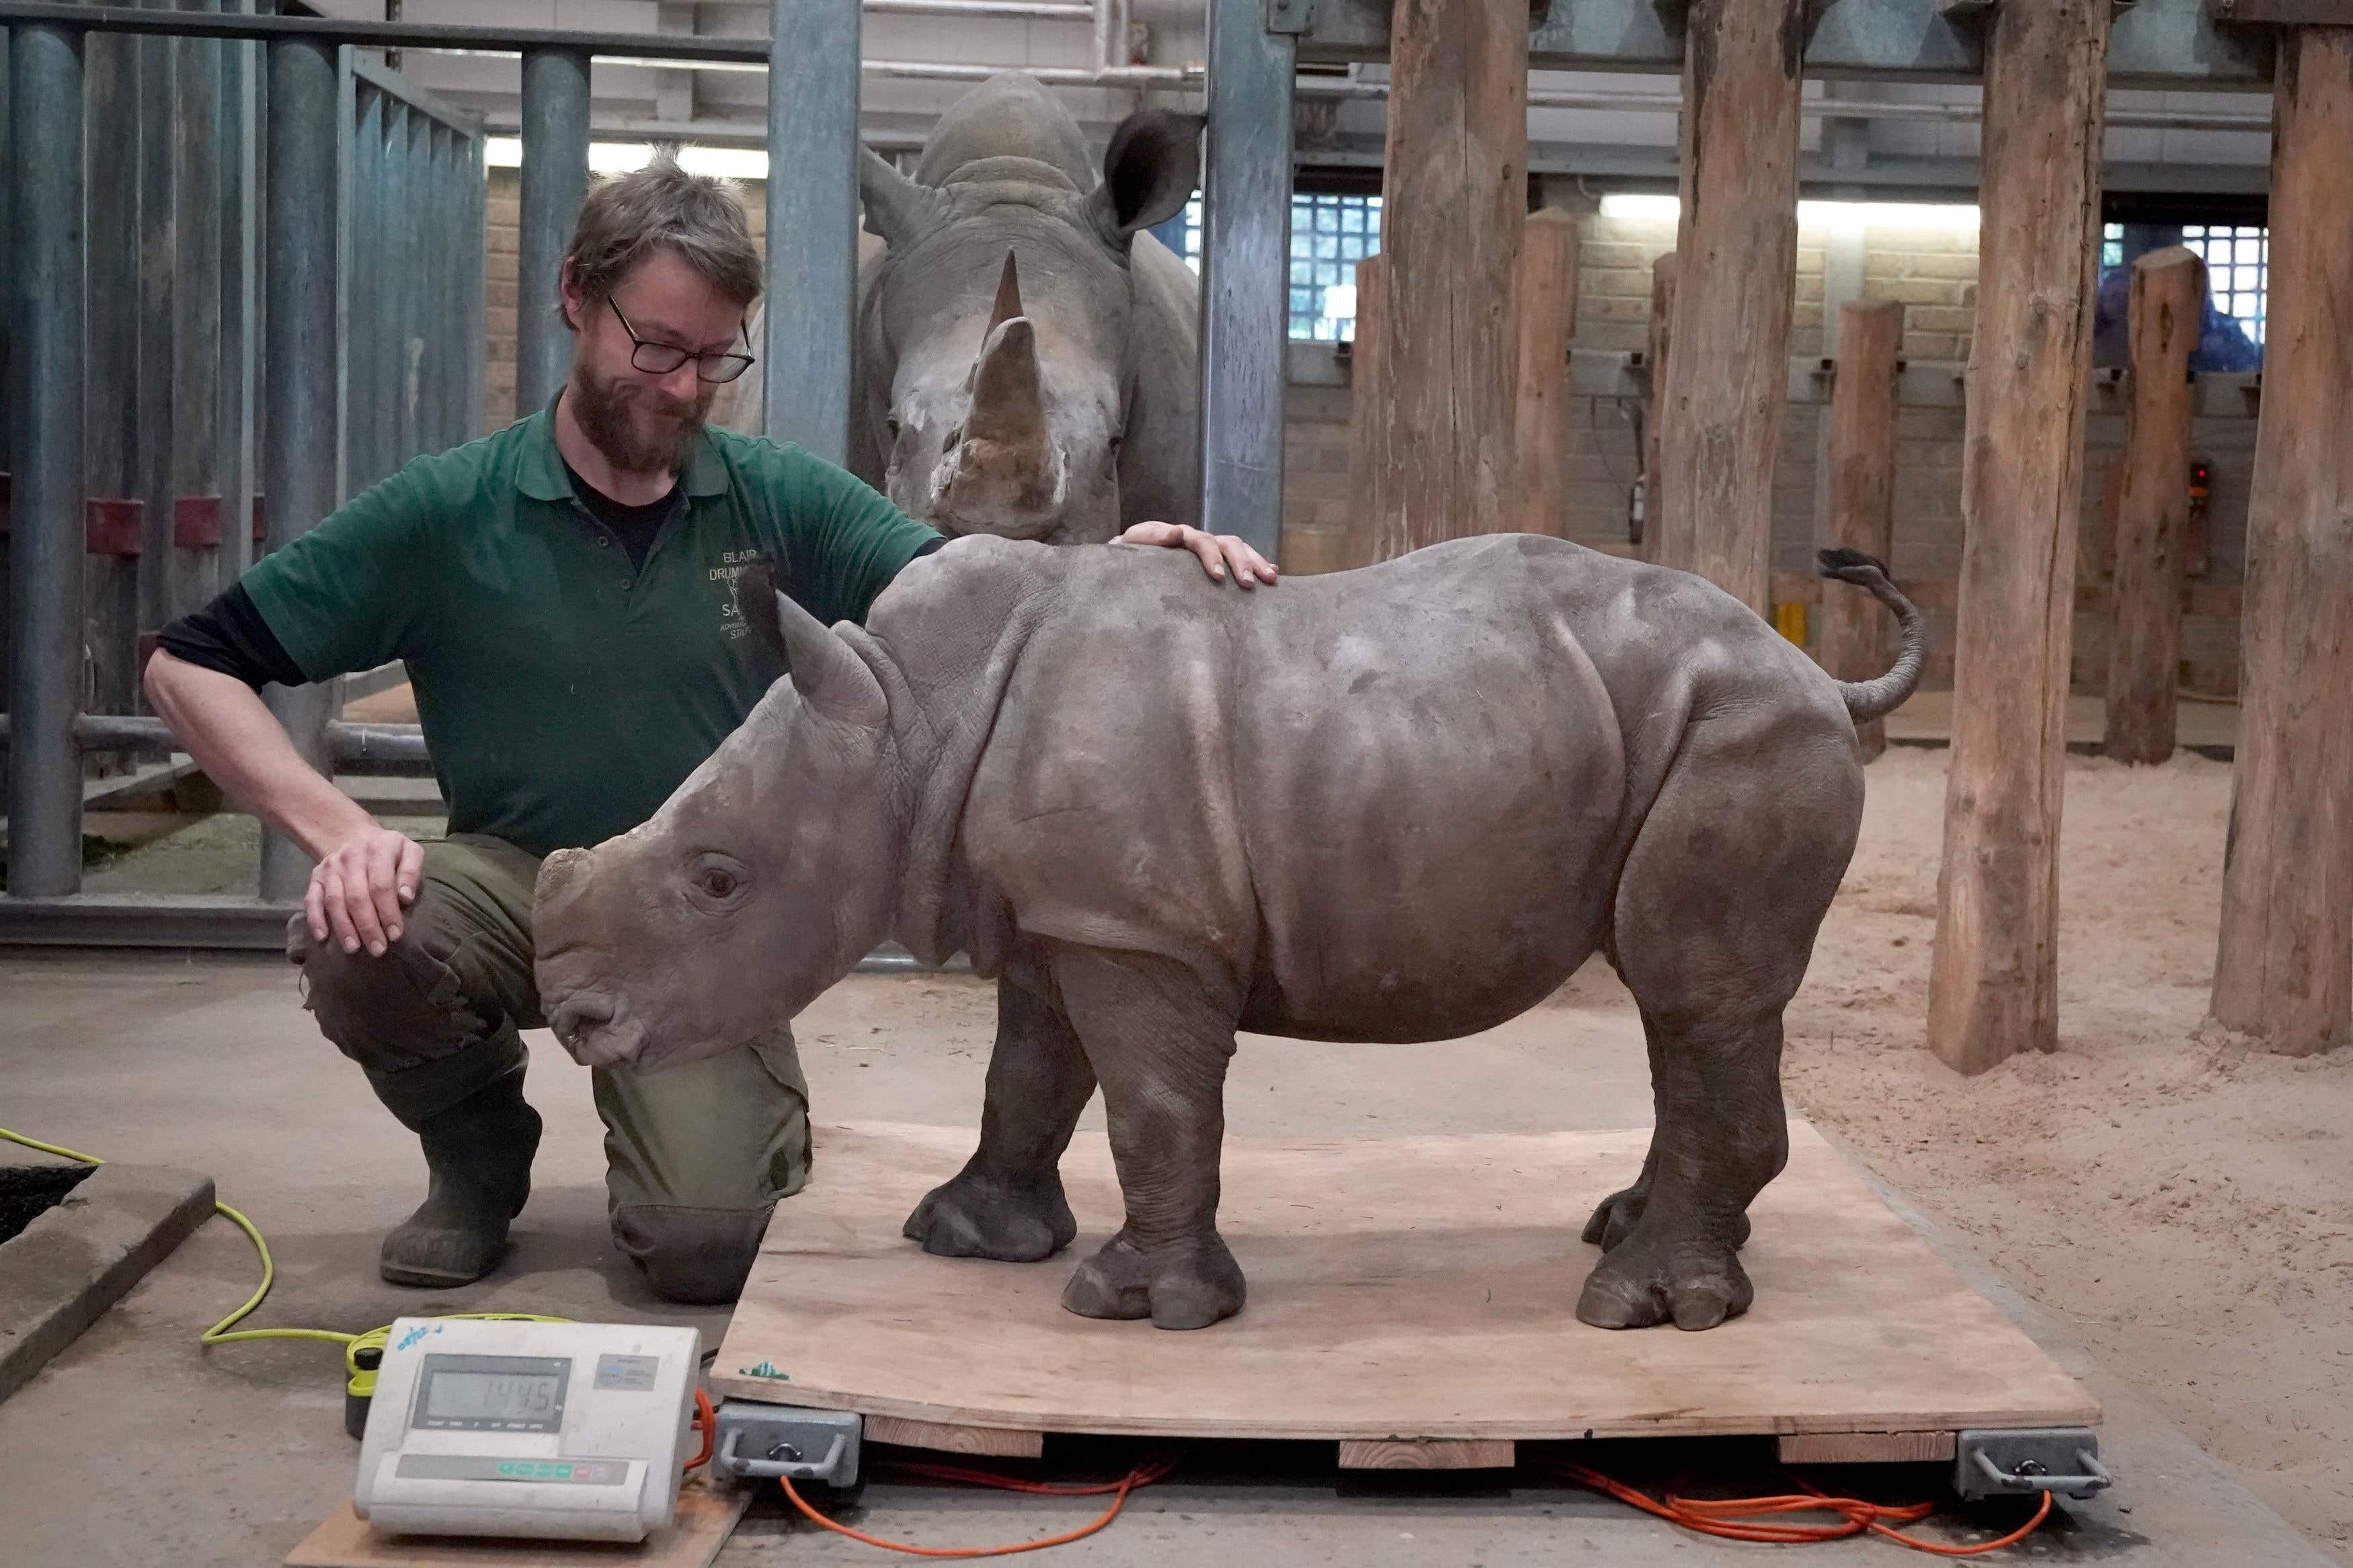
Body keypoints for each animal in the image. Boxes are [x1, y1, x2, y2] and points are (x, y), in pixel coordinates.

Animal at [534, 540, 1929, 1335]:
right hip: (1687, 721)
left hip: (1743, 731)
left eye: (718, 880)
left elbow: (1152, 1107)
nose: (578, 1018)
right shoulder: (1075, 912)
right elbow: (1026, 1074)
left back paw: (1644, 1309)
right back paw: (1632, 1231)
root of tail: (1820, 676)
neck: (905, 720)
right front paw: (966, 1235)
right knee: (1677, 1004)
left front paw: (1139, 1307)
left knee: (1696, 992)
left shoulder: (1140, 929)